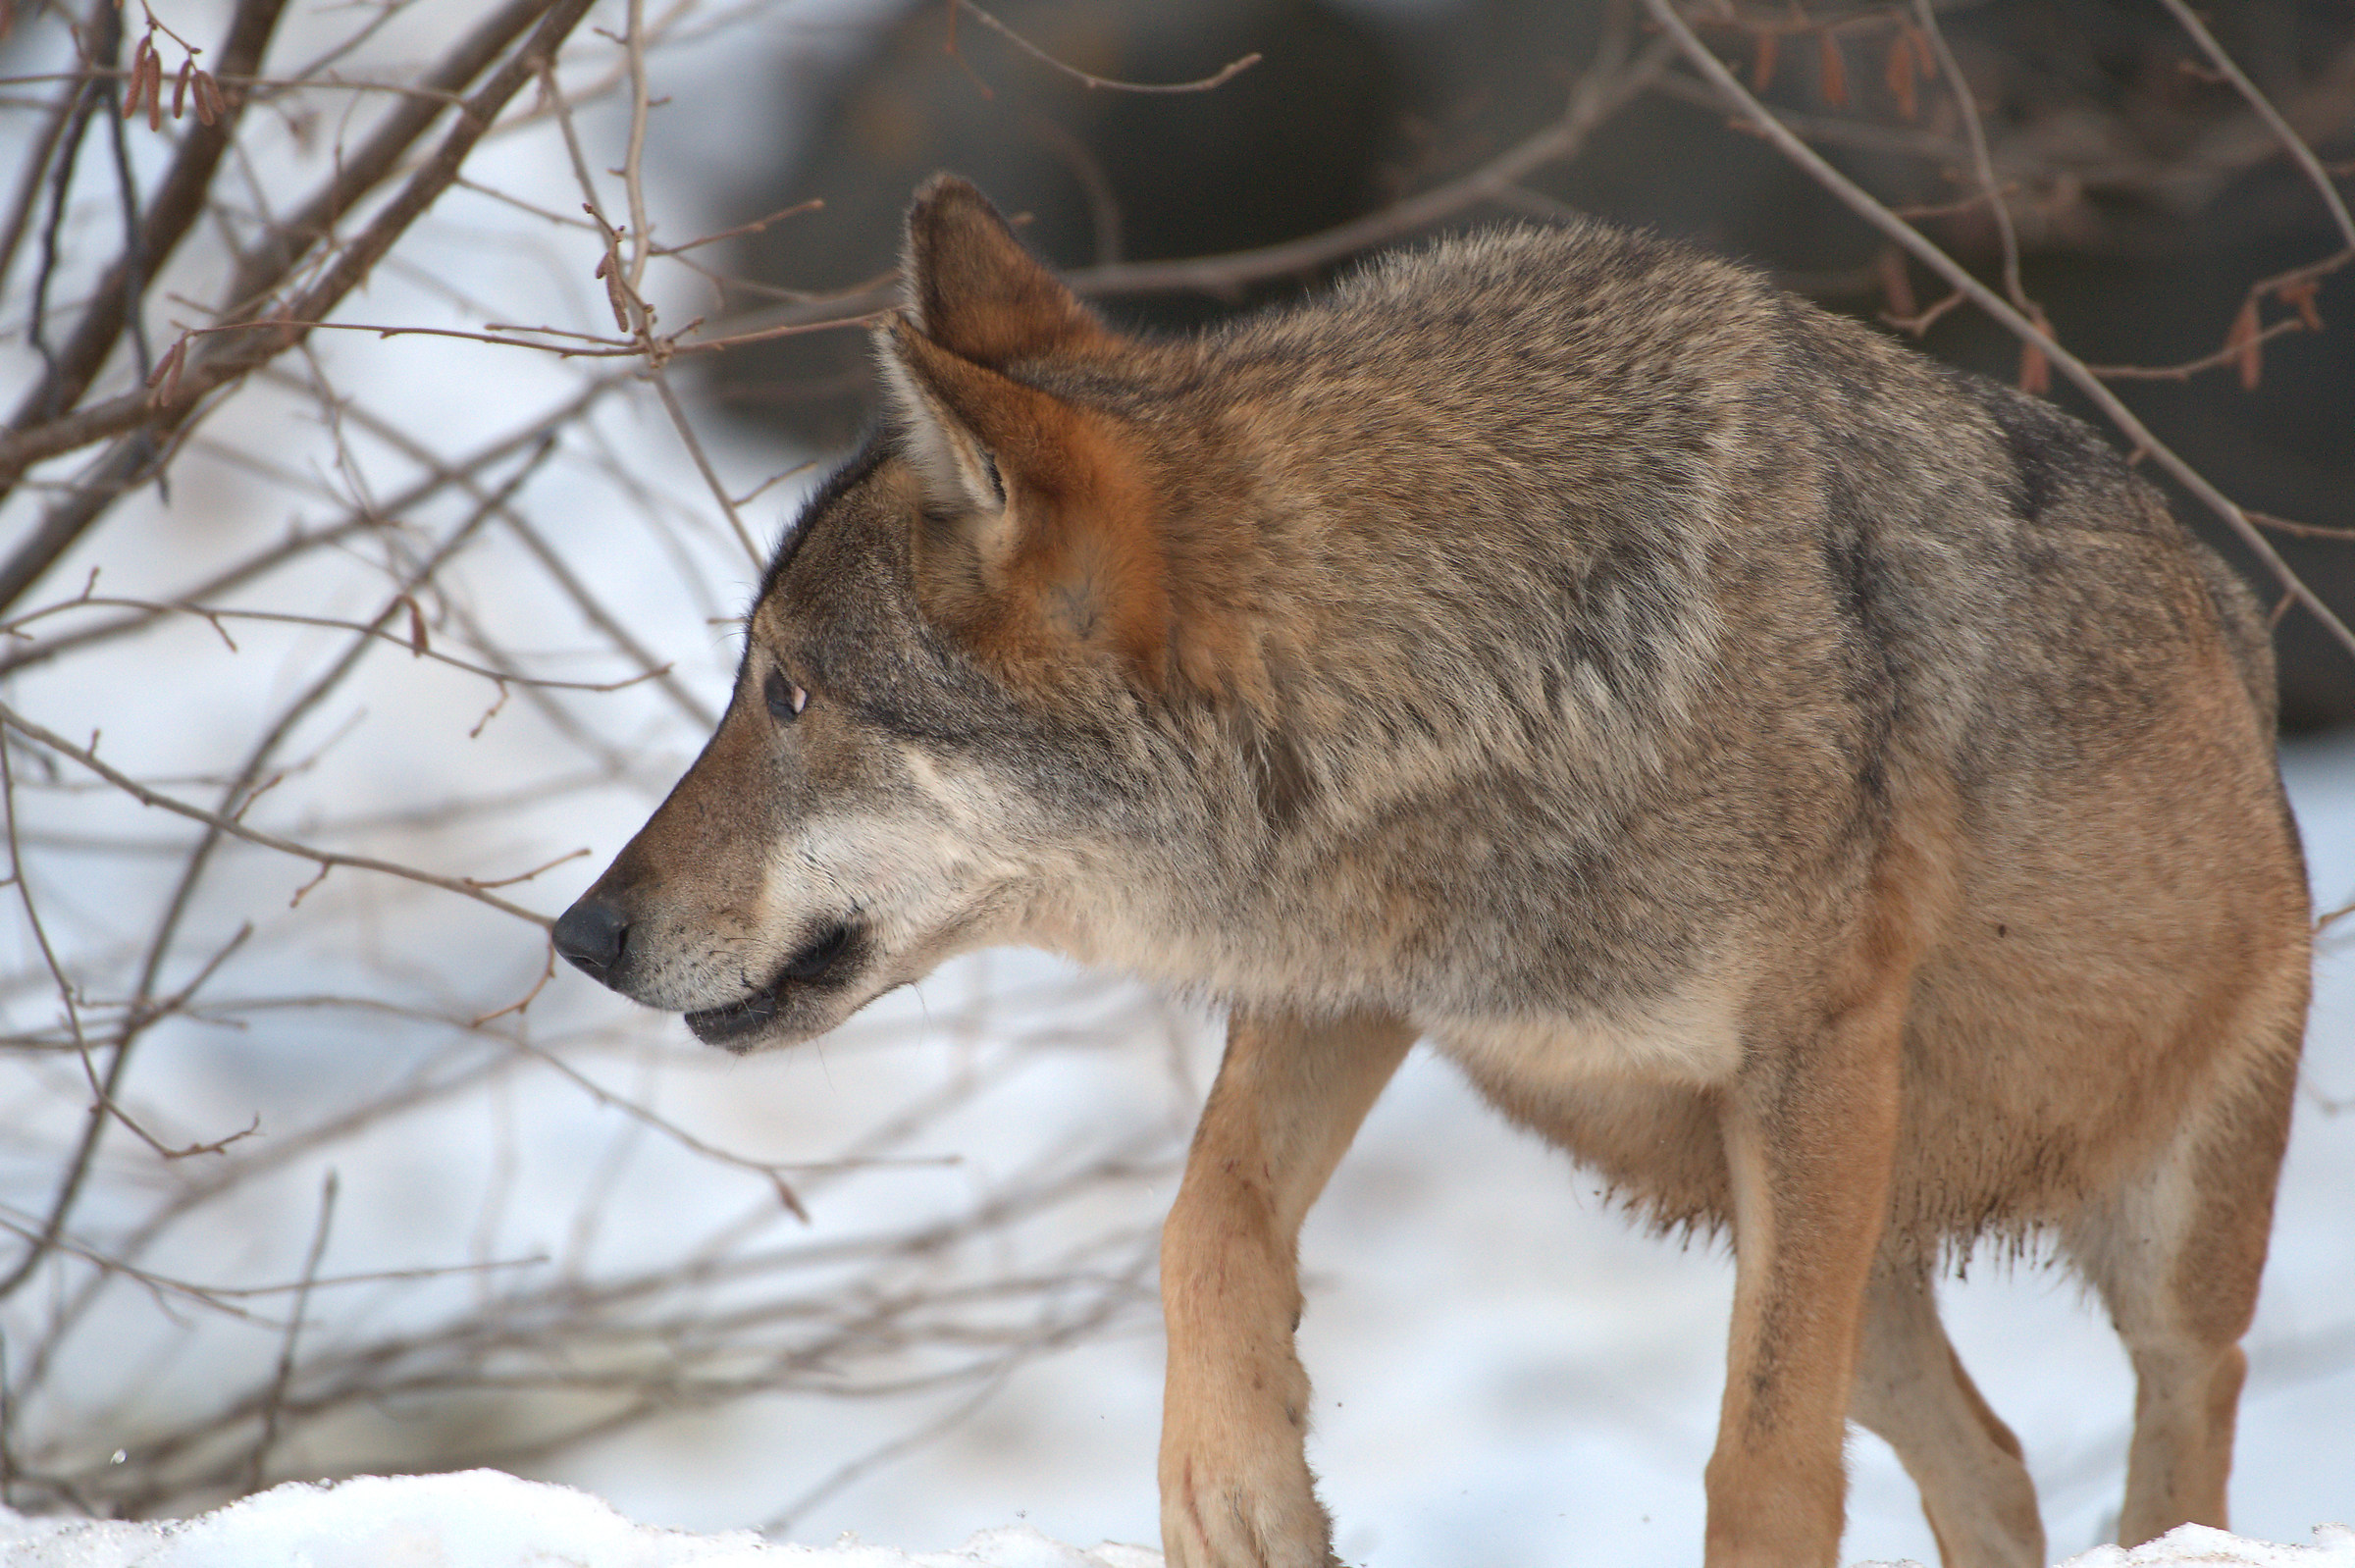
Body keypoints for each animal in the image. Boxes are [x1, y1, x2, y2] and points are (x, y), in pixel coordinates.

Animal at [554, 175, 2311, 1568]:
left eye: (789, 695)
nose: (578, 931)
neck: (1490, 664)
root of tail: (2244, 628)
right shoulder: (1350, 985)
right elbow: (1206, 1216)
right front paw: (1237, 1491)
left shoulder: (1815, 1052)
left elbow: (1761, 1468)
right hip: (1820, 1239)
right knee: (1996, 1467)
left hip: (2102, 1233)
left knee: (2183, 1413)